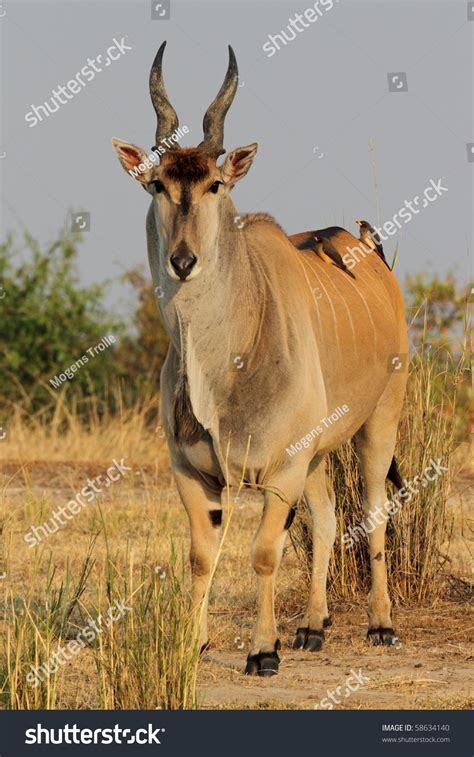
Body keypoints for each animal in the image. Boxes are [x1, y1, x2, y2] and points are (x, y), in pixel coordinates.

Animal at [112, 42, 408, 672]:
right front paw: (195, 643)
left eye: (215, 186)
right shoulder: (194, 472)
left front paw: (262, 651)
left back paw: (380, 624)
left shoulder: (281, 470)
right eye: (157, 185)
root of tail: (370, 250)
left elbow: (265, 553)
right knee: (328, 516)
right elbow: (203, 557)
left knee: (372, 513)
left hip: (379, 423)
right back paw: (314, 627)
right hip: (319, 455)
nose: (182, 261)